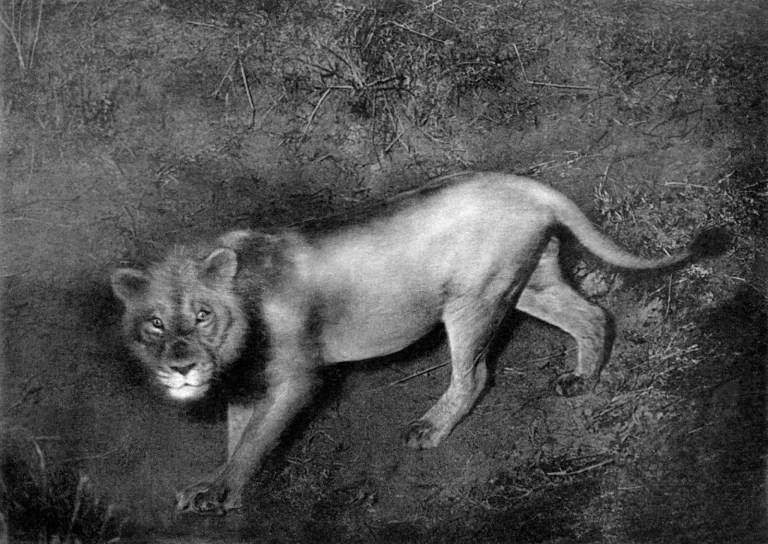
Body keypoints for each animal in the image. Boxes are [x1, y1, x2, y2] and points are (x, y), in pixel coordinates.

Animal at [110, 171, 727, 515]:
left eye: (202, 315)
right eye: (155, 324)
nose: (182, 366)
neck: (238, 337)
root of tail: (525, 183)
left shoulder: (294, 378)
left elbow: (256, 441)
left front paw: (218, 492)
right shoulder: (243, 385)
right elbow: (238, 438)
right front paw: (219, 493)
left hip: (472, 300)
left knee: (476, 374)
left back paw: (430, 428)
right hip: (530, 281)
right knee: (592, 315)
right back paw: (582, 379)